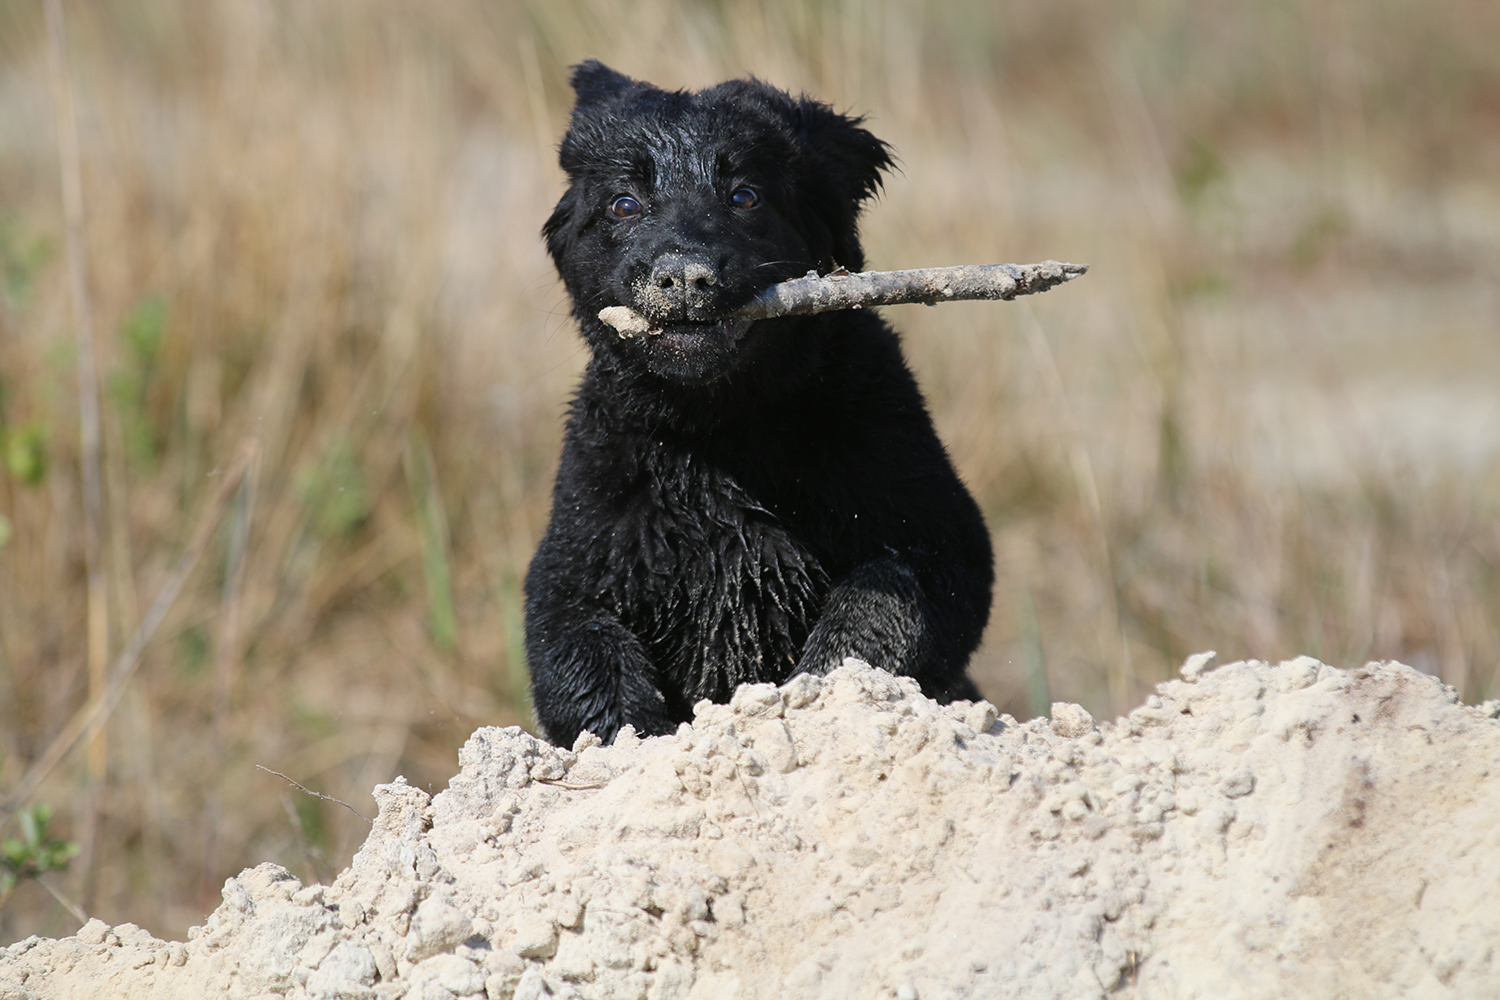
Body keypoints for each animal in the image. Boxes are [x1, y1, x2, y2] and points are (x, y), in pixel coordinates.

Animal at [524, 60, 993, 746]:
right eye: (624, 203)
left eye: (744, 196)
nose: (684, 275)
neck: (724, 429)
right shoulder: (572, 564)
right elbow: (582, 653)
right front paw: (637, 741)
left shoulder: (942, 533)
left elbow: (882, 598)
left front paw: (819, 693)